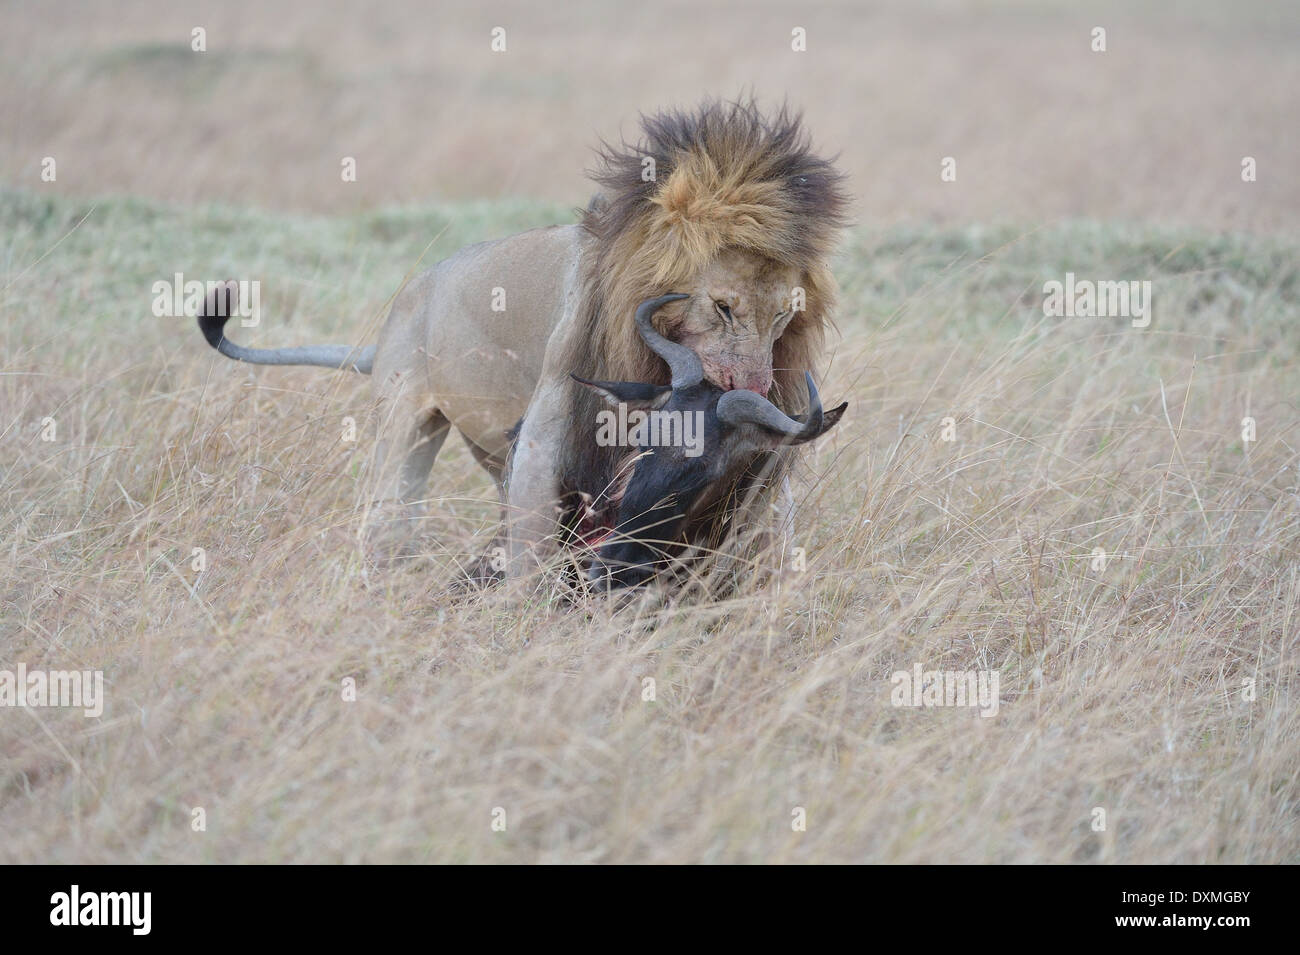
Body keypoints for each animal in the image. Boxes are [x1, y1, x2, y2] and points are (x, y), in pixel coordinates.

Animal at [197, 97, 848, 584]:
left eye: (784, 318)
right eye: (723, 307)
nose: (756, 385)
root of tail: (397, 312)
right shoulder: (551, 421)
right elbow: (533, 560)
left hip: (487, 446)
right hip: (404, 414)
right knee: (390, 525)